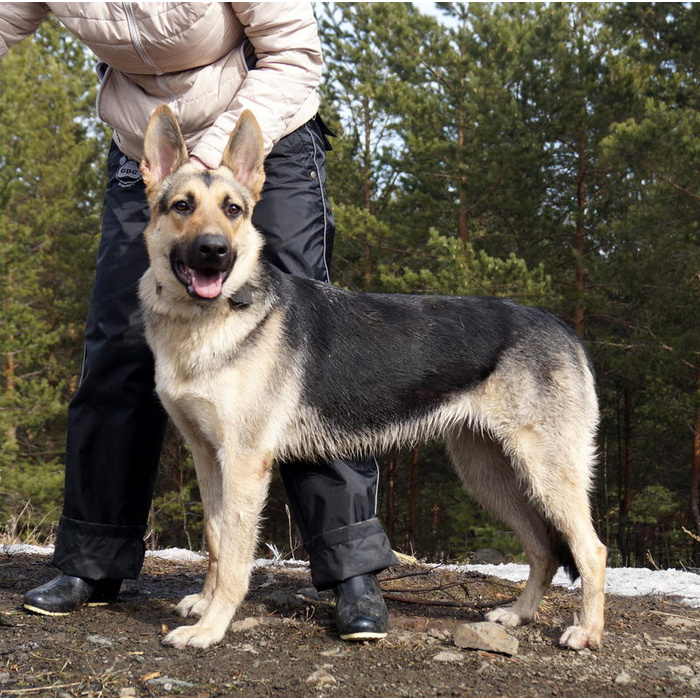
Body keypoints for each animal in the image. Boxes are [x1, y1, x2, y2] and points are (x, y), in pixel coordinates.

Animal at [138, 104, 608, 652]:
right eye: (182, 206)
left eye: (233, 210)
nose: (213, 251)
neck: (205, 324)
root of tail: (565, 329)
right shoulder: (208, 458)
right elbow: (215, 539)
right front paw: (204, 604)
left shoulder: (243, 464)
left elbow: (234, 553)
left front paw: (212, 627)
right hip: (490, 474)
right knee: (543, 548)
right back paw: (518, 614)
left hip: (545, 473)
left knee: (591, 550)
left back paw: (587, 631)